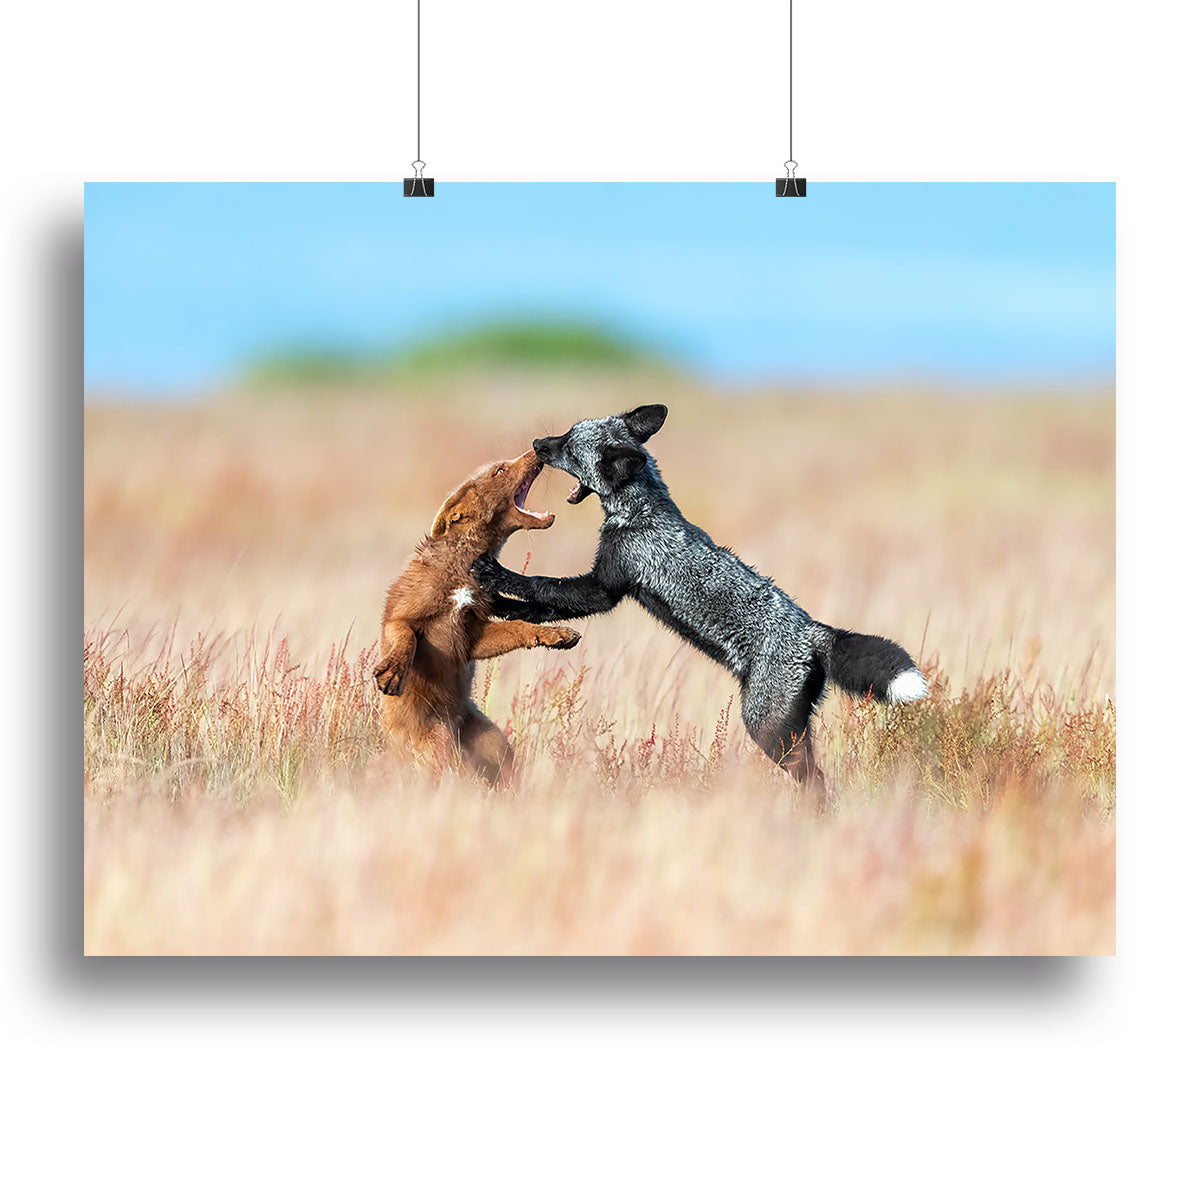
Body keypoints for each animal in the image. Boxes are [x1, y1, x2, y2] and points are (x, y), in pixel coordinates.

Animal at [375, 448, 581, 785]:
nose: (536, 450)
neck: (463, 570)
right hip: (433, 742)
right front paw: (390, 675)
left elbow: (516, 627)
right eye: (499, 470)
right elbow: (405, 636)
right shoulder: (401, 613)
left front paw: (561, 635)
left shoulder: (471, 634)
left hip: (491, 740)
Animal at [476, 405, 928, 794]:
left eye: (569, 447)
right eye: (566, 432)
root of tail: (815, 631)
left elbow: (540, 584)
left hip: (768, 730)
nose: (538, 443)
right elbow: (537, 607)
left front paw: (495, 575)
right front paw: (497, 606)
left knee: (816, 783)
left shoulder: (605, 587)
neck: (642, 512)